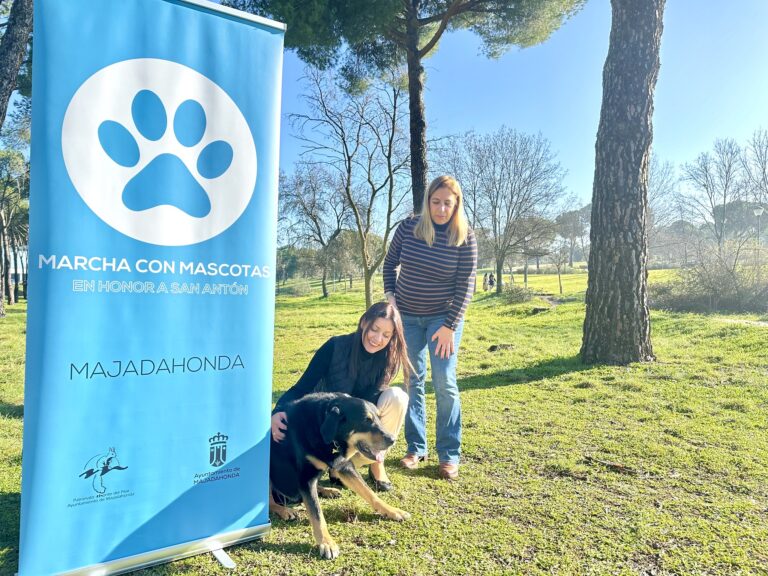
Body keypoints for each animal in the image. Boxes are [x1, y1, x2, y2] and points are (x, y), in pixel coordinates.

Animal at [268, 392, 408, 560]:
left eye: (379, 418)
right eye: (366, 420)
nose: (392, 439)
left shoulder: (345, 466)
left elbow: (369, 492)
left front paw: (392, 510)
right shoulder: (306, 477)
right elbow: (317, 514)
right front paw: (326, 543)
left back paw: (328, 490)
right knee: (270, 501)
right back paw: (285, 510)